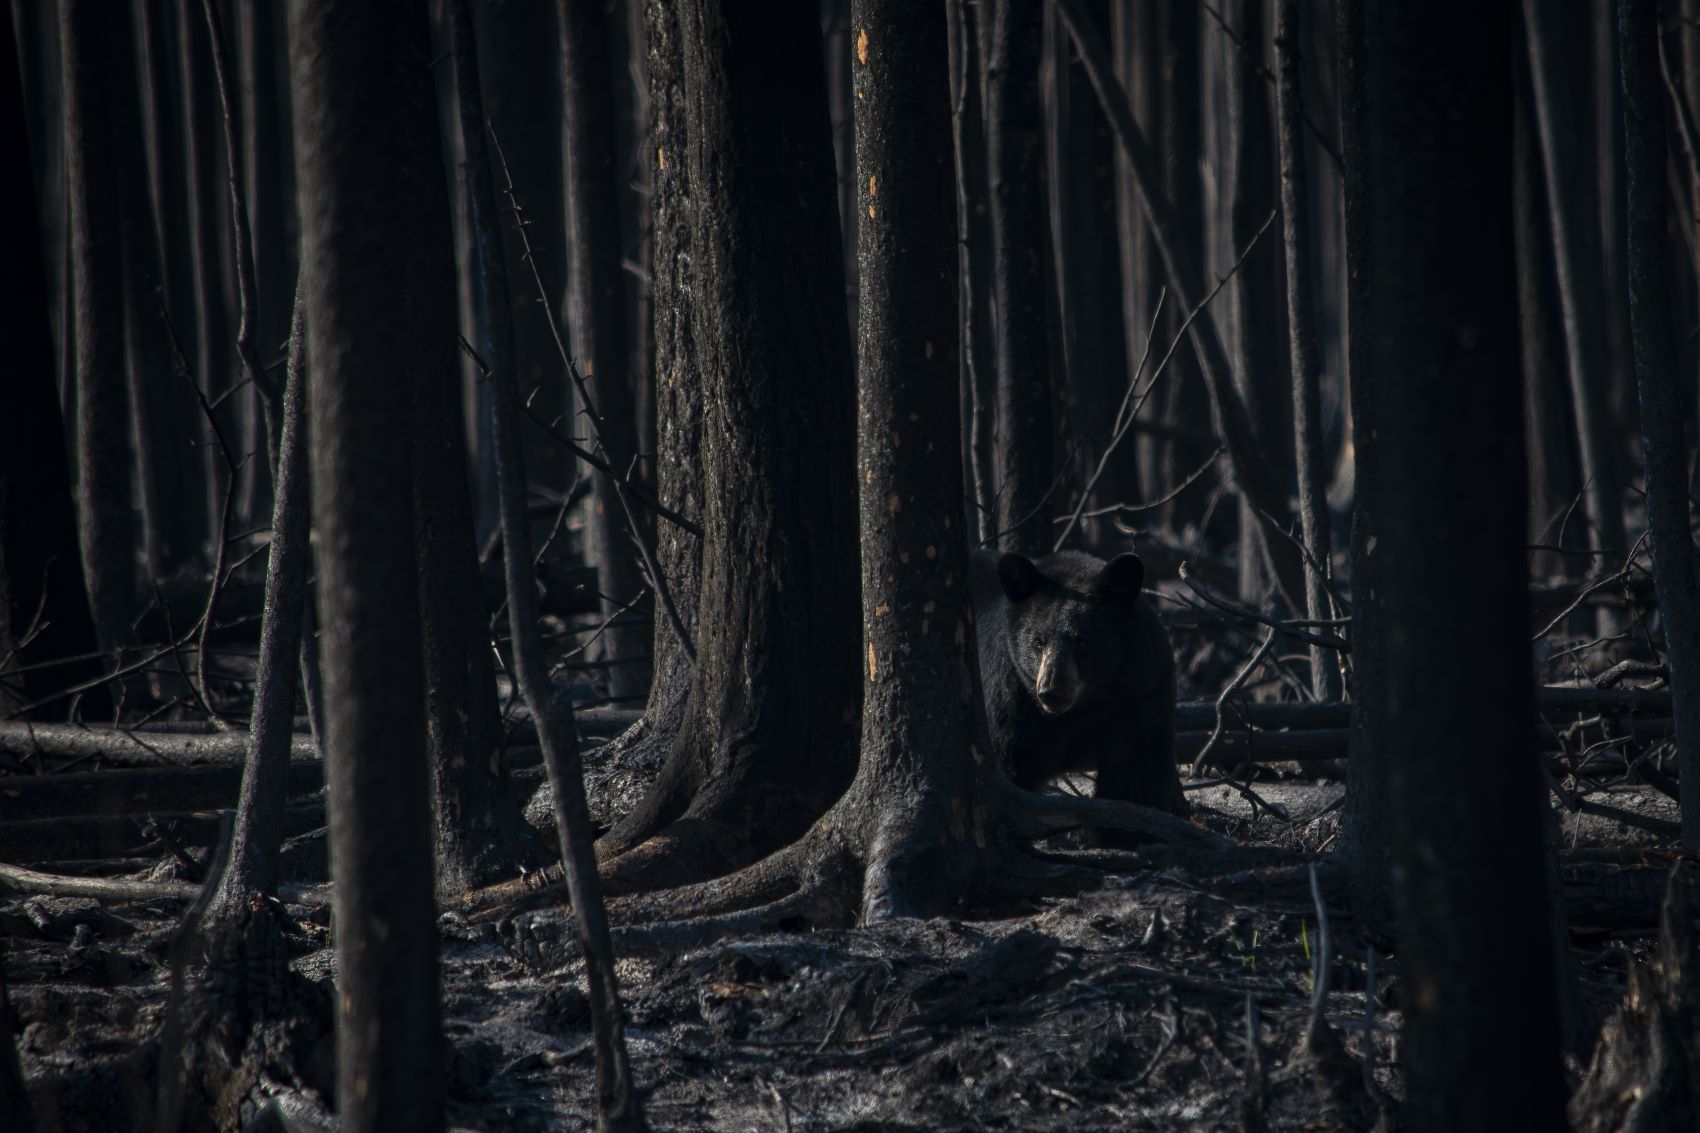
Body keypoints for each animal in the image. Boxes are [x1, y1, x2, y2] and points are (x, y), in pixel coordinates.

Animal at [971, 548, 1187, 819]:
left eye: (1081, 642)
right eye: (1038, 642)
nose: (1050, 691)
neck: (1086, 705)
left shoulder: (1141, 690)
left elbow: (1137, 769)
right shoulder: (1009, 696)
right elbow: (1008, 757)